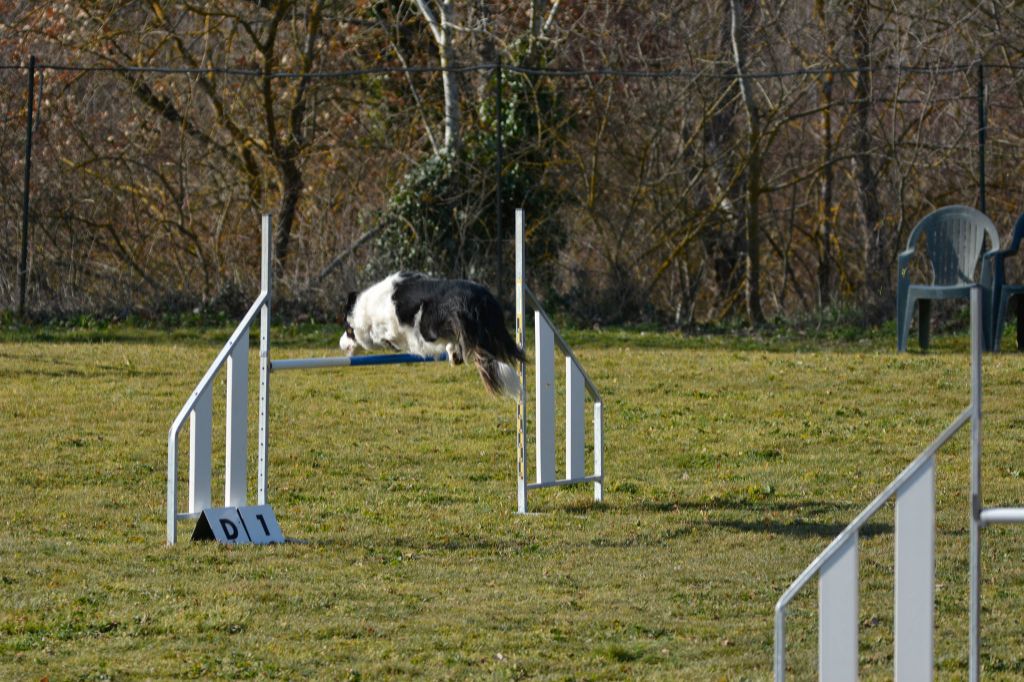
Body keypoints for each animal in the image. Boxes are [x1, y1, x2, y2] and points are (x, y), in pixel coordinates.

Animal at [339, 270, 524, 395]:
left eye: (348, 330)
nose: (340, 344)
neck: (366, 310)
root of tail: (483, 299)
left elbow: (386, 335)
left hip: (430, 321)